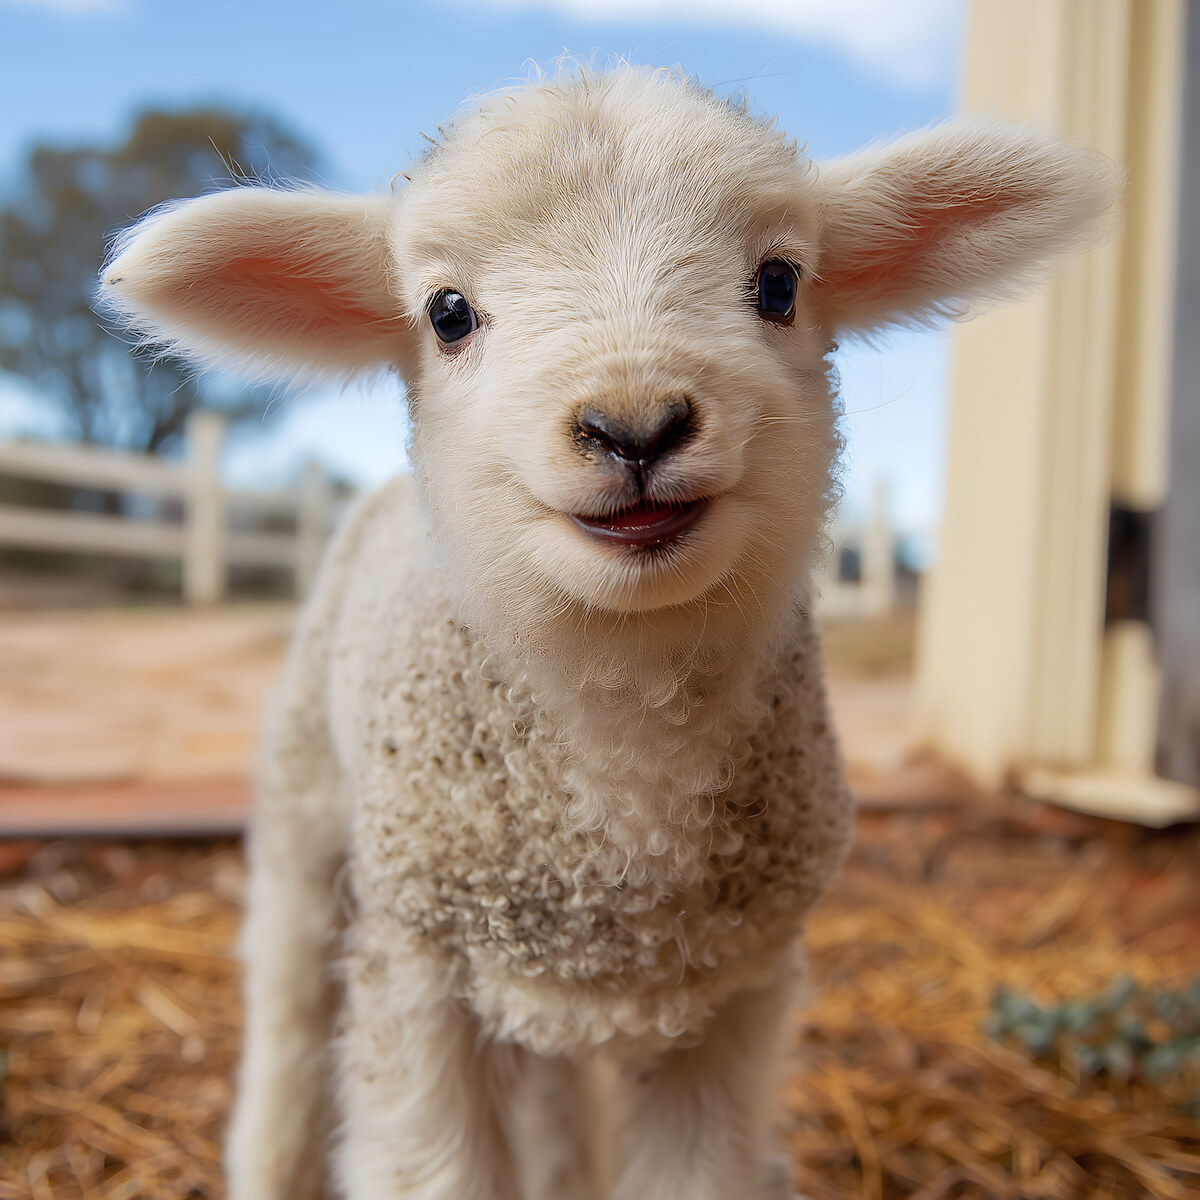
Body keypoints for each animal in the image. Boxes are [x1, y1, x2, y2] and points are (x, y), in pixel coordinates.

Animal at [101, 65, 1118, 1200]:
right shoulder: (419, 971)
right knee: (284, 1016)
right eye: (447, 313)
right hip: (308, 809)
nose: (635, 427)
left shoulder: (731, 996)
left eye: (779, 284)